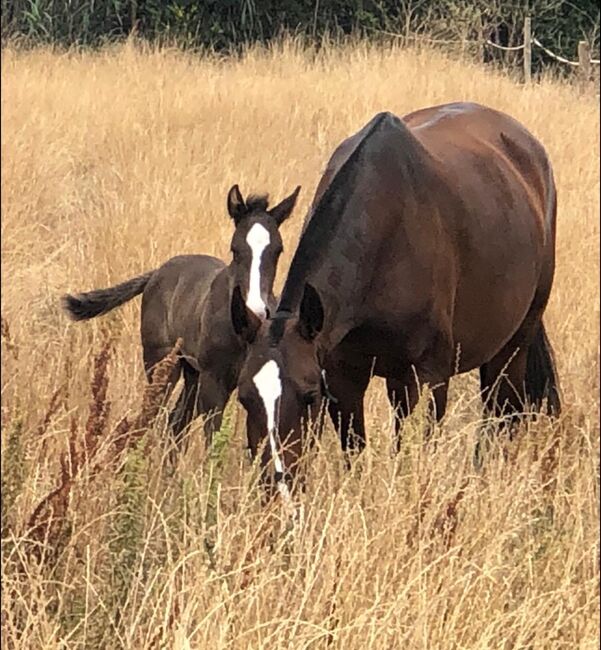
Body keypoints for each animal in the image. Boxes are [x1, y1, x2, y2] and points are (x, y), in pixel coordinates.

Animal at [62, 185, 300, 442]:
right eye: (235, 250)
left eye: (278, 251)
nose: (256, 310)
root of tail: (157, 272)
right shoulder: (214, 381)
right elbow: (213, 438)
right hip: (161, 364)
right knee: (157, 416)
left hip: (191, 371)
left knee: (177, 420)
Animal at [231, 104, 564, 494]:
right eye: (244, 397)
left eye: (309, 395)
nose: (277, 486)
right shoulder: (344, 377)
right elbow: (355, 453)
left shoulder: (427, 377)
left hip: (513, 345)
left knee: (501, 417)